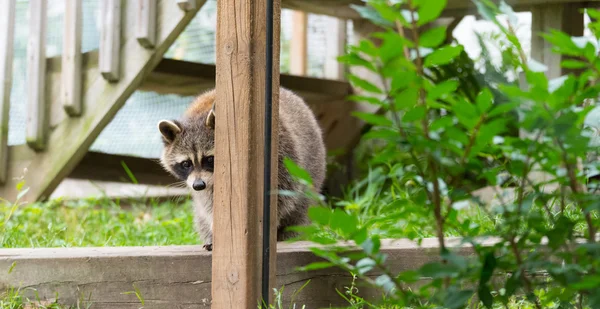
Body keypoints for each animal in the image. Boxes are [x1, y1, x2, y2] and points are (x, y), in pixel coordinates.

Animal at [157, 86, 326, 250]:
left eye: (210, 159)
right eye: (186, 164)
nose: (198, 185)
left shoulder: (279, 154)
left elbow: (280, 194)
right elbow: (209, 204)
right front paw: (215, 229)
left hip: (312, 168)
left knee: (299, 209)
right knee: (201, 216)